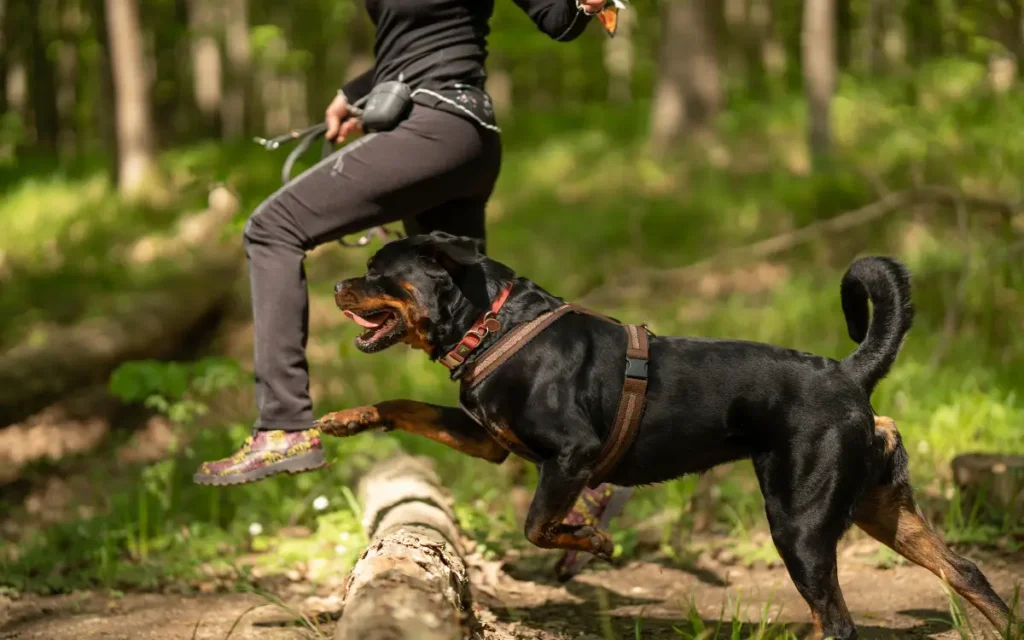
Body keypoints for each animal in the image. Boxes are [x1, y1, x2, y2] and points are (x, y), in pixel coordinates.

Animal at [317, 232, 1015, 634]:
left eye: (378, 270)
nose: (334, 284)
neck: (491, 324)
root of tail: (849, 375)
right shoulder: (487, 439)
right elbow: (407, 404)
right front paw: (347, 419)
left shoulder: (571, 457)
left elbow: (539, 525)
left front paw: (592, 539)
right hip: (880, 506)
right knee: (965, 571)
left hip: (800, 522)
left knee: (839, 619)